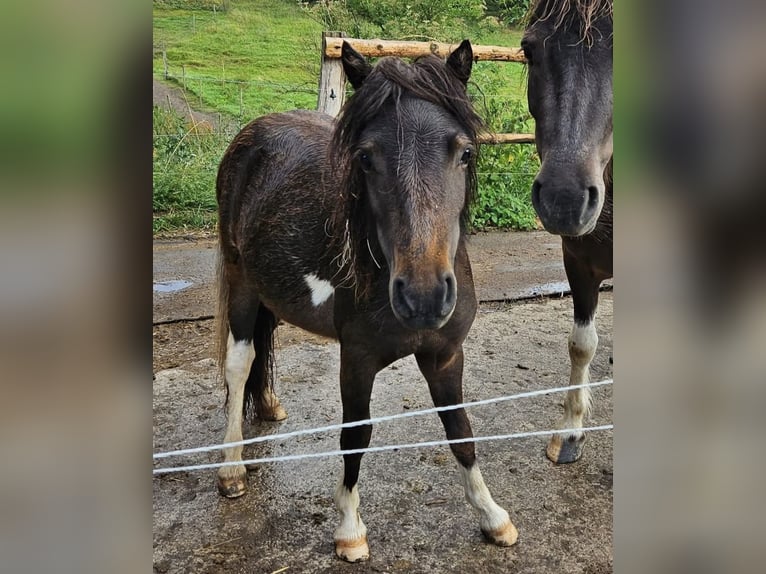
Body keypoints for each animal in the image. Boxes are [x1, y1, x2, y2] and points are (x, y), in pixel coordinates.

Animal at [213, 42, 520, 564]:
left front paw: (492, 515)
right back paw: (231, 468)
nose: (423, 296)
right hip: (242, 284)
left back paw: (270, 406)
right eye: (365, 158)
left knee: (262, 347)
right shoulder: (355, 359)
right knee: (239, 364)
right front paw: (350, 529)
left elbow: (461, 430)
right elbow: (356, 435)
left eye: (465, 152)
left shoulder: (445, 356)